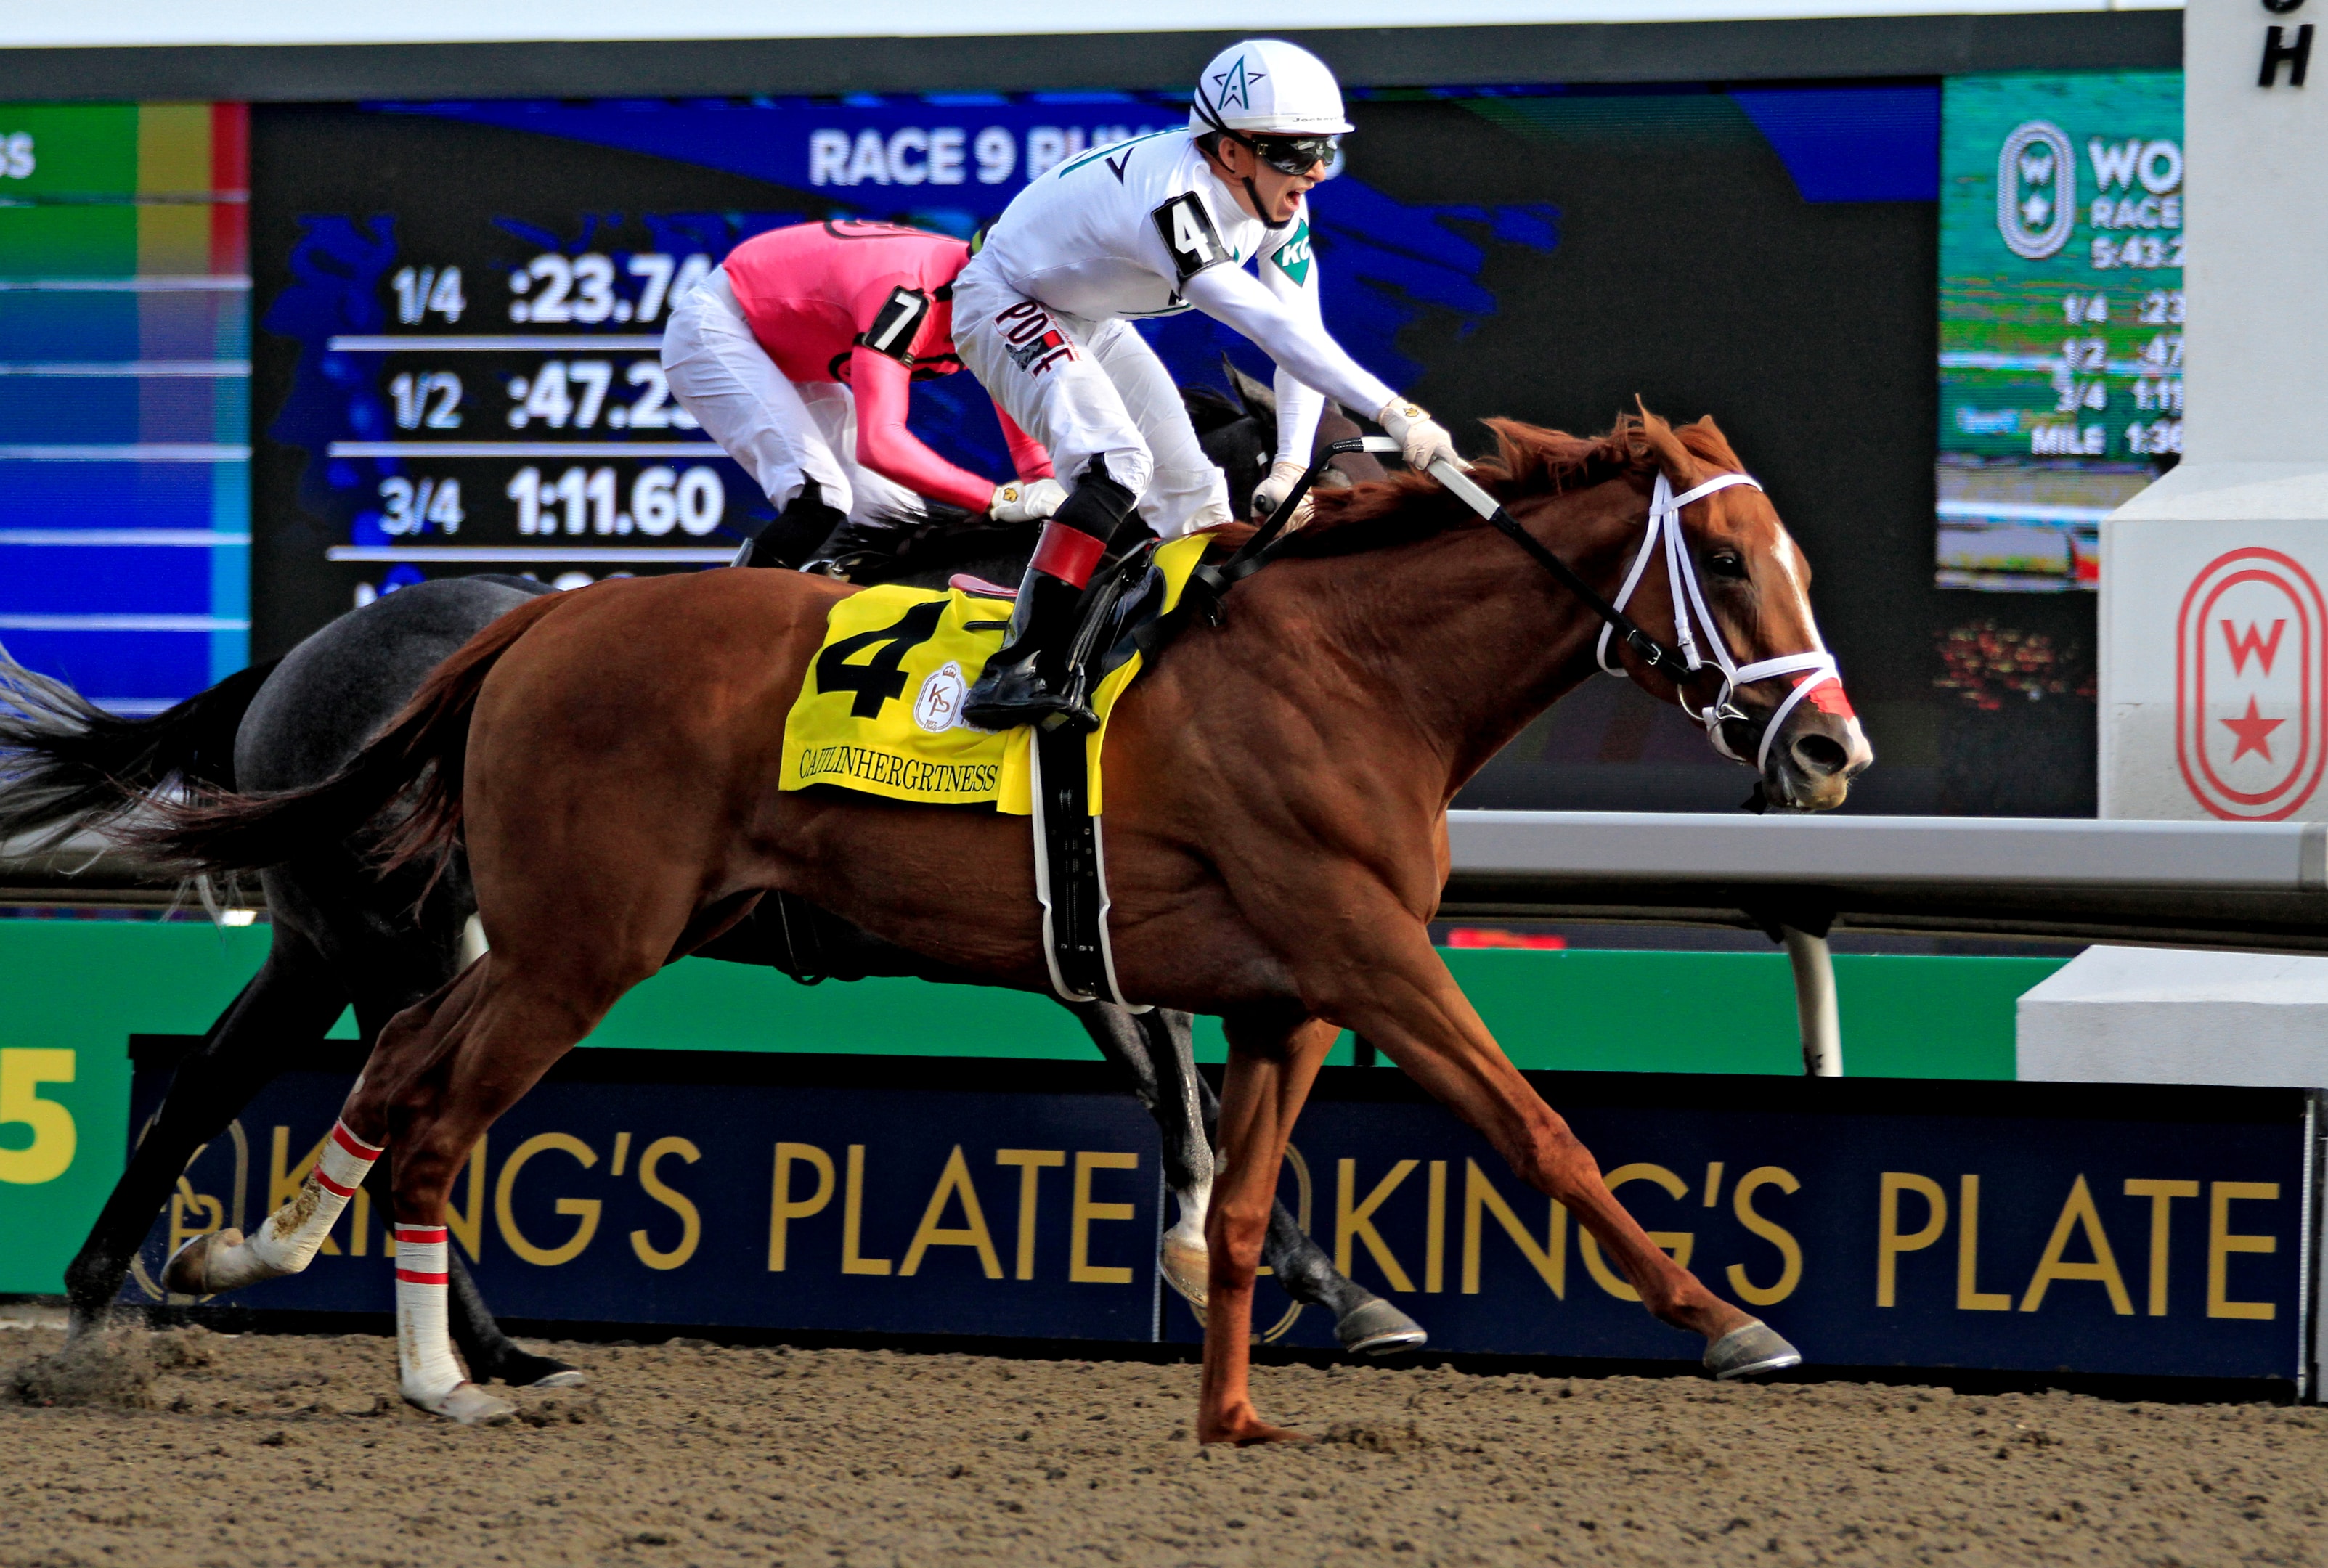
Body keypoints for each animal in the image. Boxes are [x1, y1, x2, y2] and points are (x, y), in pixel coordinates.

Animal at [150, 409, 1871, 1433]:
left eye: (1793, 558)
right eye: (1728, 563)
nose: (1830, 753)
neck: (1348, 669)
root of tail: (535, 623)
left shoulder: (1284, 988)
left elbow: (1241, 1193)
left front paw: (1237, 1401)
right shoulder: (1364, 955)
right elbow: (1538, 1132)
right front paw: (1731, 1322)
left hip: (517, 938)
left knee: (383, 1076)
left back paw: (236, 1257)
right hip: (573, 941)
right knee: (429, 1116)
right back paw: (441, 1377)